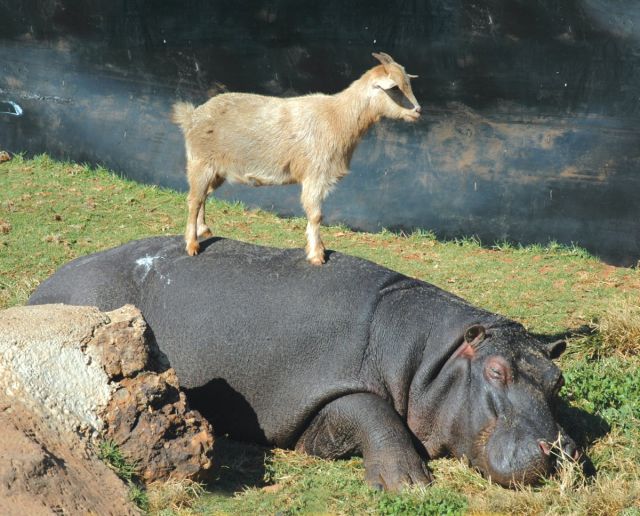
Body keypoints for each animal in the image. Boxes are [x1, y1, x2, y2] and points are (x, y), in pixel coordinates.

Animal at [28, 236, 576, 490]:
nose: (559, 450)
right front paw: (408, 484)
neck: (429, 360)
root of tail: (40, 290)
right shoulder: (327, 384)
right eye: (496, 371)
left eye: (557, 379)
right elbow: (375, 413)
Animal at [171, 52, 420, 264]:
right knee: (194, 200)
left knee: (202, 196)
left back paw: (203, 230)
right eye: (395, 88)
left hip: (217, 171)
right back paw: (192, 244)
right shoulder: (315, 174)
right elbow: (316, 214)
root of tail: (191, 116)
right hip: (200, 163)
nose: (417, 110)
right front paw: (317, 255)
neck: (338, 118)